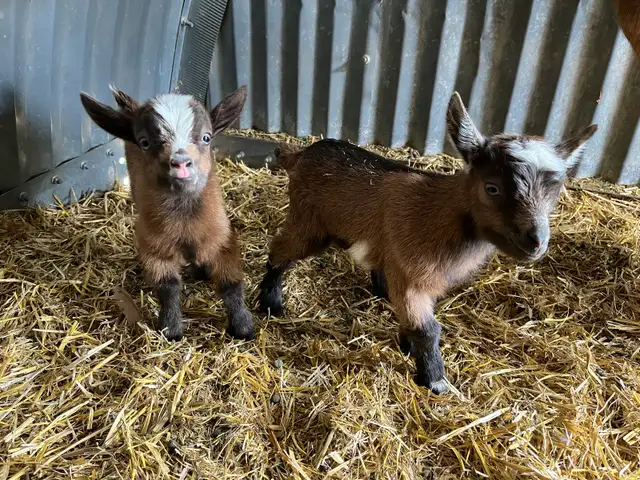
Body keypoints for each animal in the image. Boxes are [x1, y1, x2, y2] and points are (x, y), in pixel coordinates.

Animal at [79, 86, 255, 342]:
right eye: (144, 142)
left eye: (207, 137)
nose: (181, 162)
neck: (186, 226)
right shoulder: (154, 248)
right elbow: (168, 287)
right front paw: (171, 329)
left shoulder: (223, 240)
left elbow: (231, 284)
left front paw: (243, 327)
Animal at [258, 91, 597, 394]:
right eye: (492, 188)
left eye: (555, 192)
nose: (536, 242)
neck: (437, 214)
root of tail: (300, 154)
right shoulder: (413, 280)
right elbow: (429, 330)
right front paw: (435, 381)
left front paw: (408, 346)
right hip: (308, 222)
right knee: (280, 251)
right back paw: (270, 304)